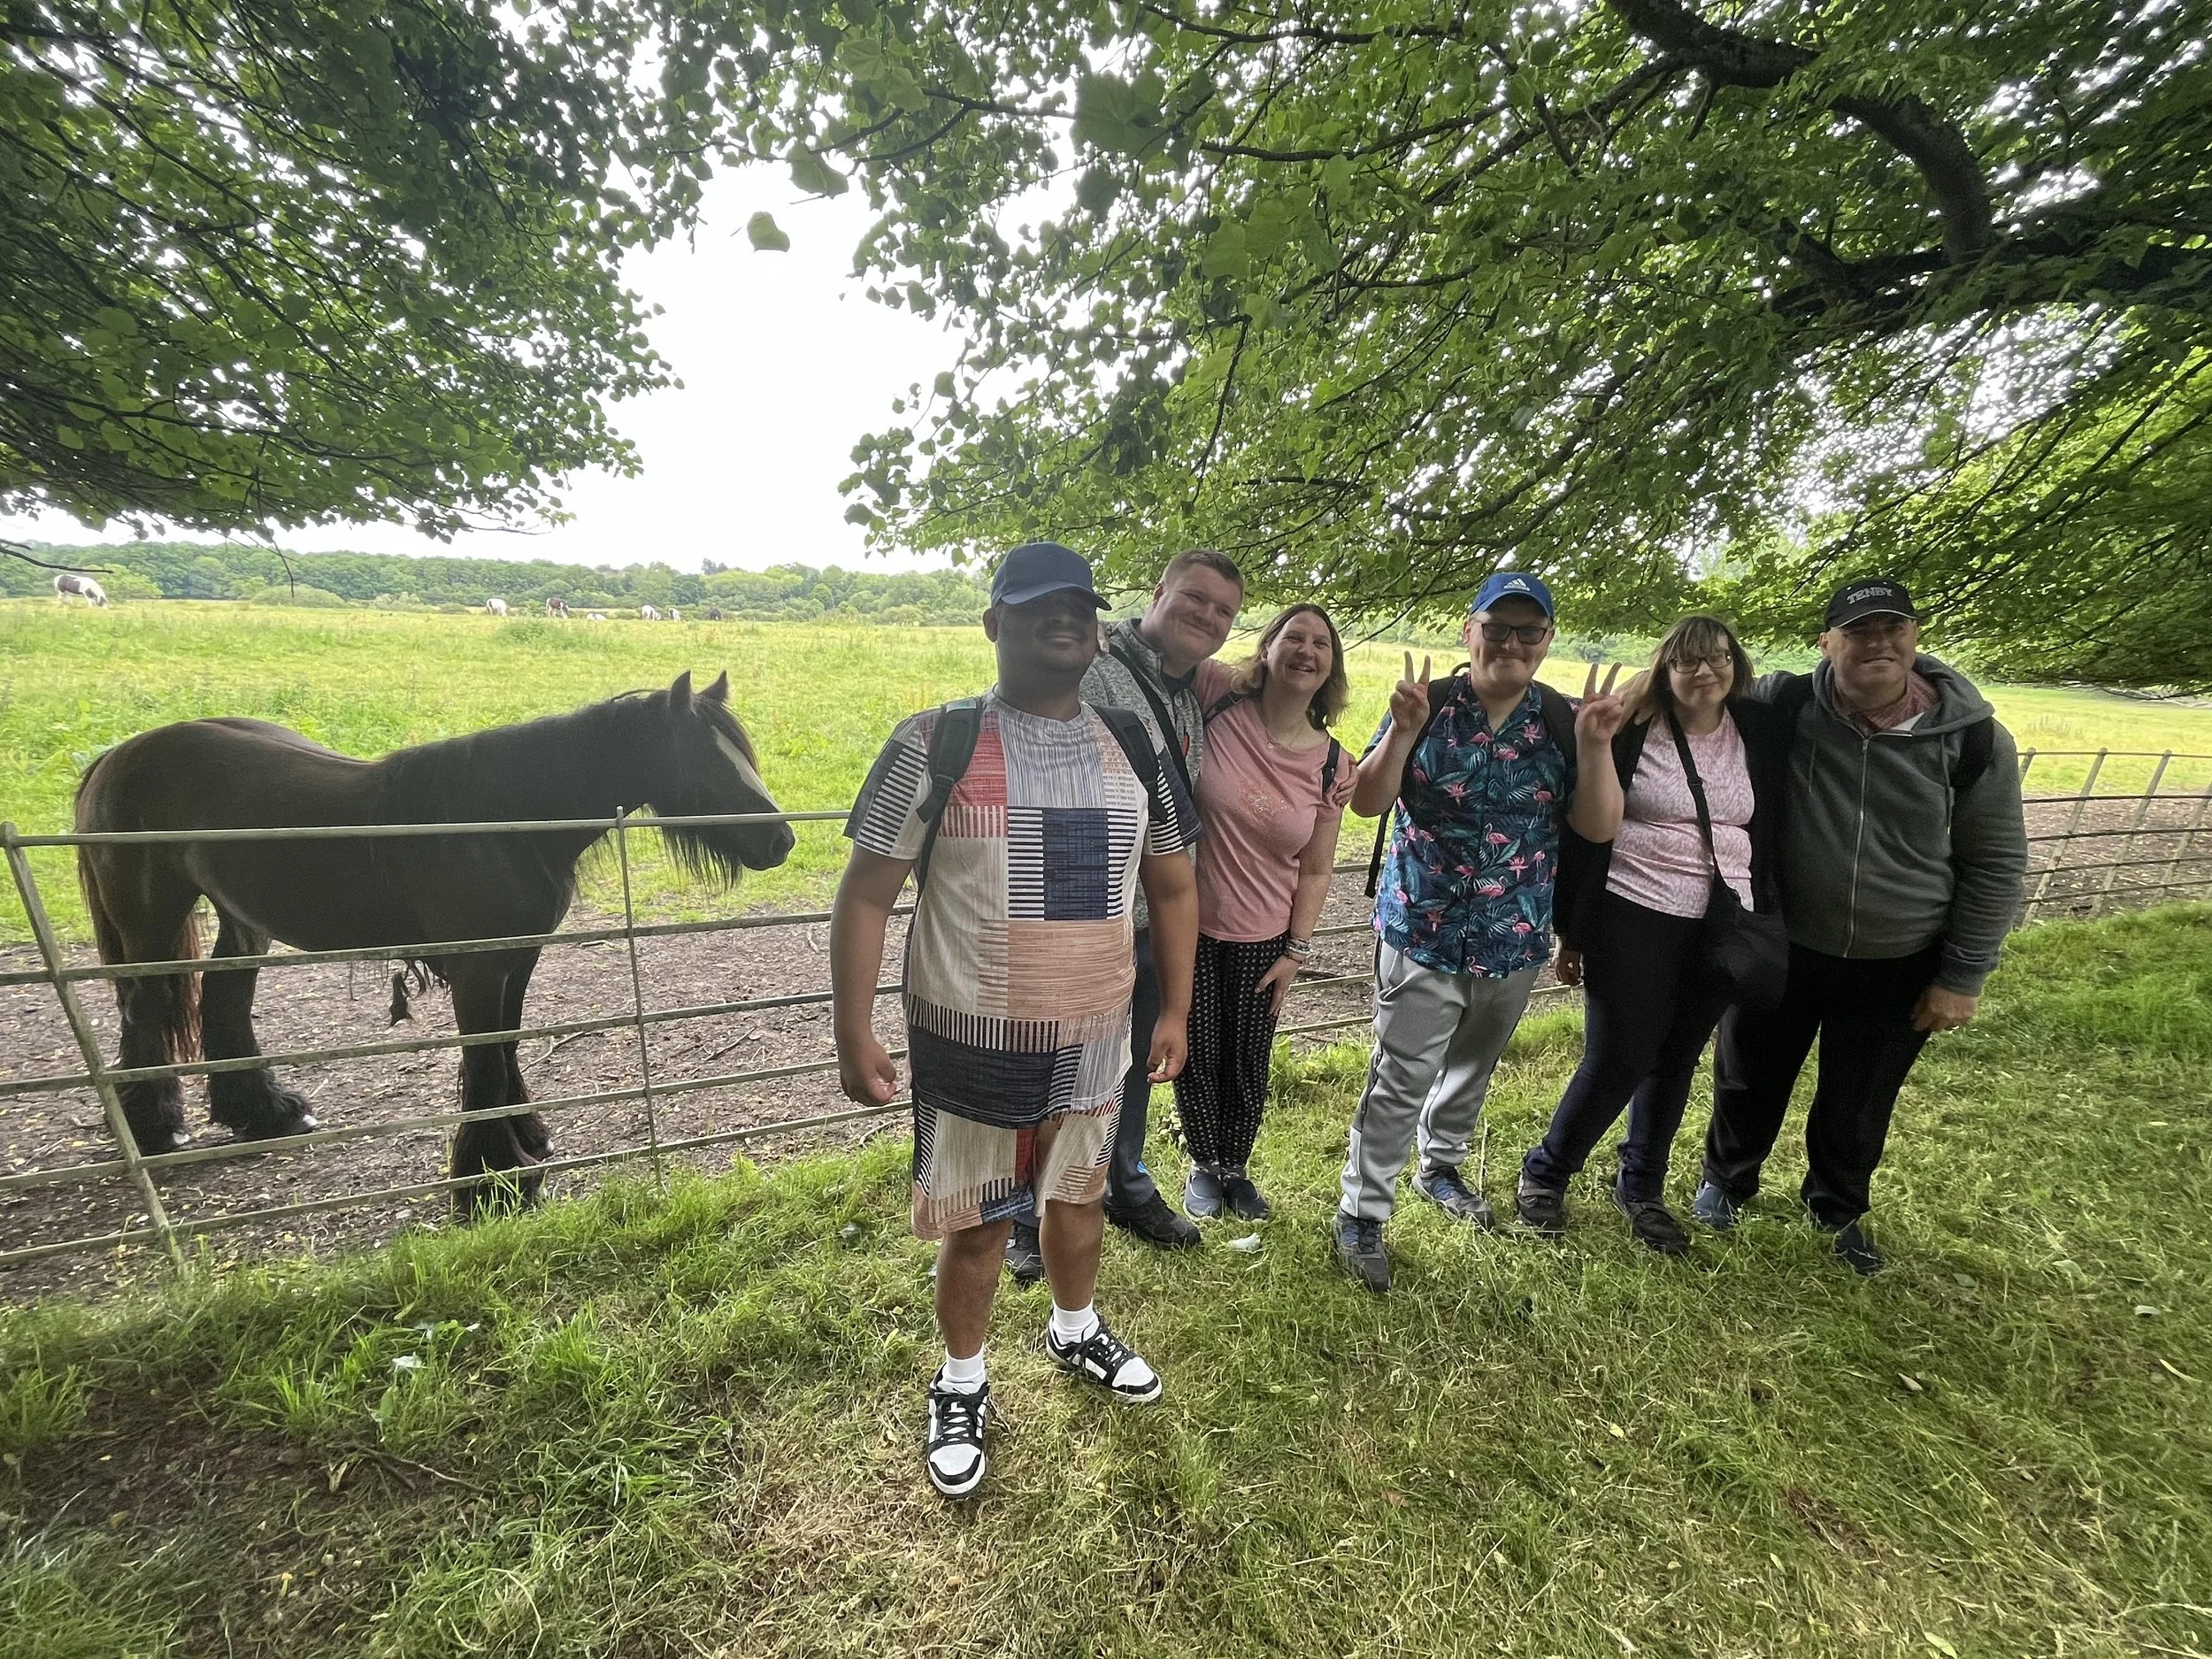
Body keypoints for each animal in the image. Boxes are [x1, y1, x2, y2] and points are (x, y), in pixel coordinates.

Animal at [74, 672, 793, 1212]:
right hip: (150, 924)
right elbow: (481, 1056)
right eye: (702, 760)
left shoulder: (518, 958)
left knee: (224, 999)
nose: (780, 840)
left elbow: (505, 1047)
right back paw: (155, 1129)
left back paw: (268, 1113)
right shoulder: (478, 970)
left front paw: (526, 1140)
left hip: (242, 921)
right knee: (144, 1009)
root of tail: (113, 758)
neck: (501, 824)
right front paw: (493, 1178)